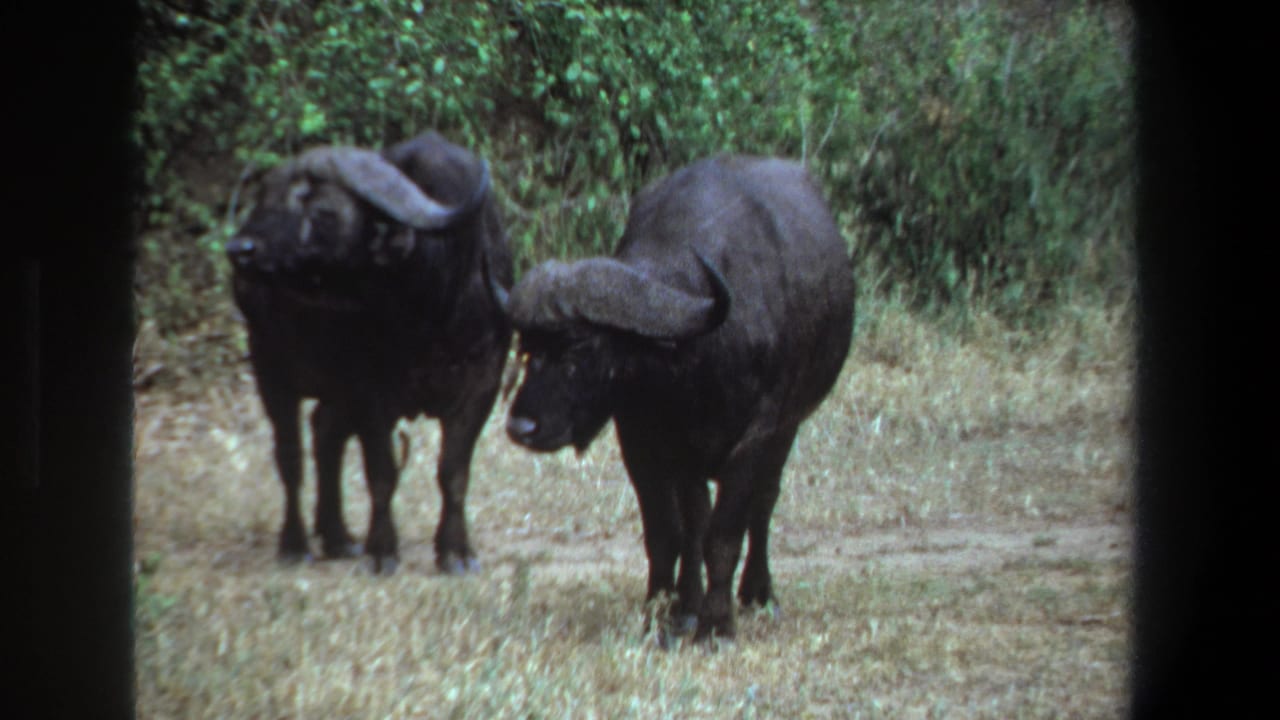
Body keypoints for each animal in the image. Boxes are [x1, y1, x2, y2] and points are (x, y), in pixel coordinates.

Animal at [226, 132, 512, 574]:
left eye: (322, 210)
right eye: (264, 198)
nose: (240, 248)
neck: (430, 308)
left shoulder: (483, 382)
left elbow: (453, 472)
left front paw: (456, 551)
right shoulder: (369, 391)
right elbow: (382, 473)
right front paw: (383, 550)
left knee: (325, 433)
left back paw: (338, 536)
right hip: (269, 366)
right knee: (290, 457)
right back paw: (295, 543)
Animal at [494, 155, 855, 640]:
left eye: (581, 347)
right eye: (528, 348)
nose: (522, 426)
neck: (694, 356)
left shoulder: (757, 436)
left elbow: (725, 533)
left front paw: (717, 625)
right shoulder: (651, 444)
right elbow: (672, 531)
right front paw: (665, 615)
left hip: (789, 427)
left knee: (763, 504)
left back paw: (758, 594)